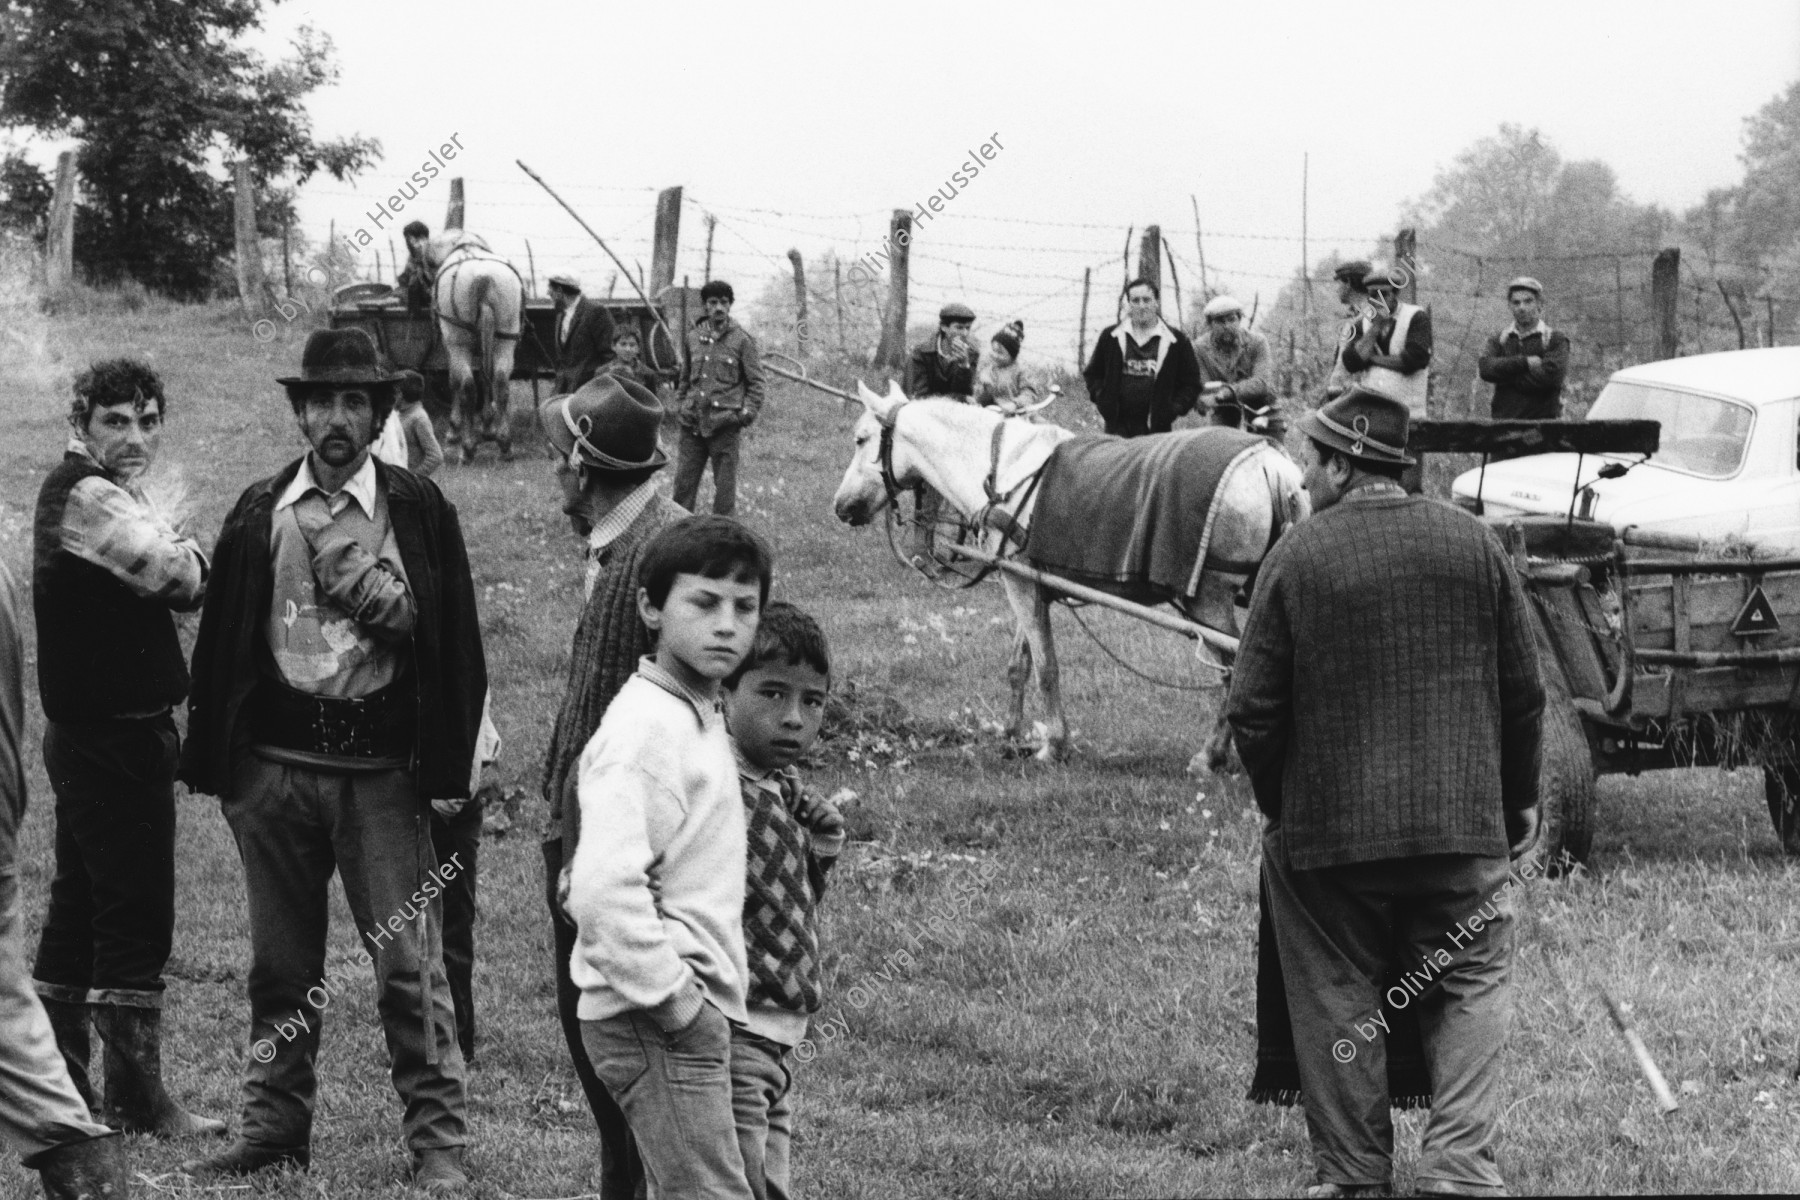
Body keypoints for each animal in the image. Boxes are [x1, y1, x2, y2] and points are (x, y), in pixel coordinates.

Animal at [828, 383, 1310, 770]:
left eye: (861, 439)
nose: (841, 506)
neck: (1000, 469)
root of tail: (1270, 464)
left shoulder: (1021, 584)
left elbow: (1046, 667)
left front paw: (1054, 746)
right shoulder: (1026, 581)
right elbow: (1019, 665)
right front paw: (1011, 736)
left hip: (1208, 602)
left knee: (1235, 672)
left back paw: (1210, 756)